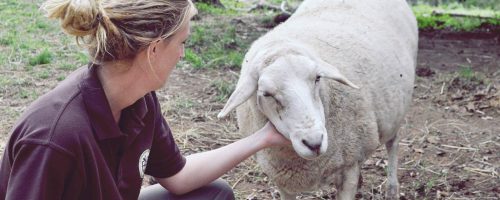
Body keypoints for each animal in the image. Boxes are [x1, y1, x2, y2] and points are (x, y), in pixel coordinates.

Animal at [219, 0, 418, 199]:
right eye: (266, 94)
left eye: (317, 78)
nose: (314, 143)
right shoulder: (282, 181)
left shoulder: (349, 168)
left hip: (396, 111)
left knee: (393, 143)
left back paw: (392, 188)